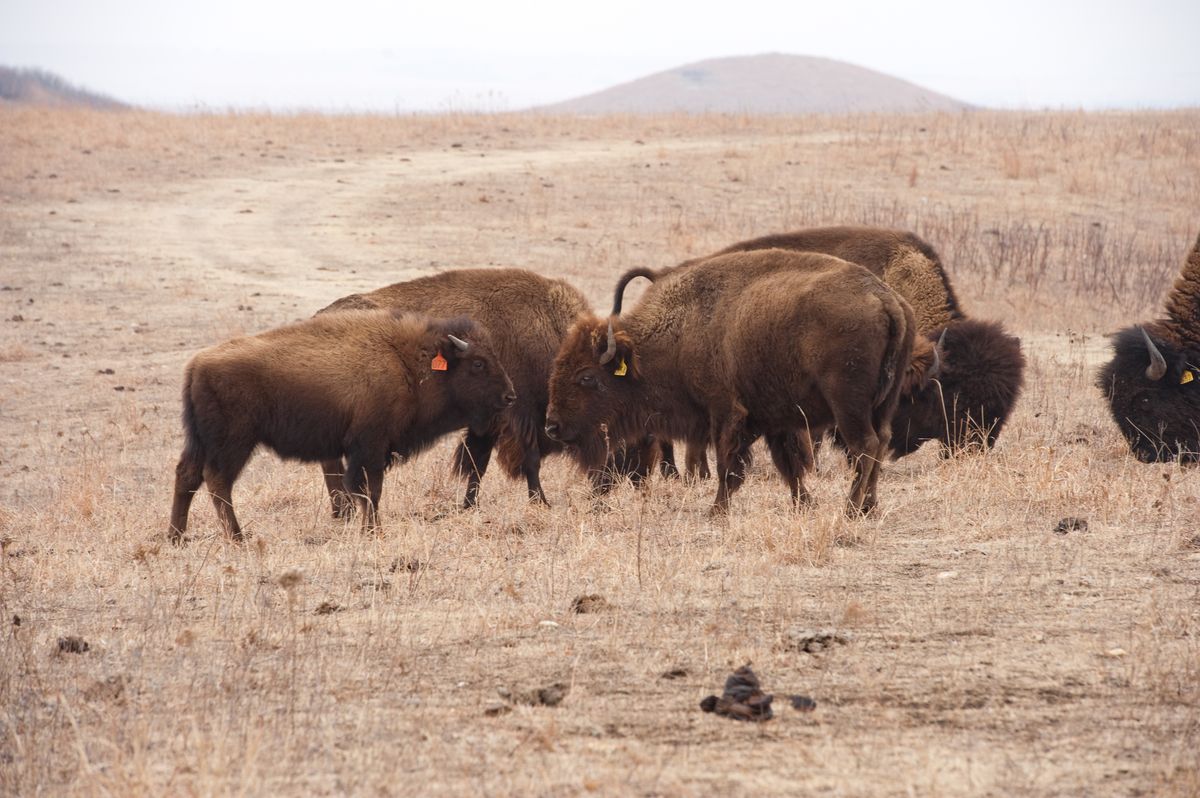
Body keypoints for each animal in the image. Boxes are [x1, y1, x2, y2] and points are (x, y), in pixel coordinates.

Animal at [166, 307, 513, 537]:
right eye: (478, 363)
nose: (510, 396)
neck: (406, 361)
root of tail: (197, 364)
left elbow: (365, 490)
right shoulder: (369, 447)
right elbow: (370, 489)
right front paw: (373, 532)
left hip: (199, 441)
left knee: (187, 476)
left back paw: (176, 537)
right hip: (233, 442)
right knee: (217, 481)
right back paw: (237, 538)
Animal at [544, 249, 926, 516]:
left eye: (587, 377)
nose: (552, 426)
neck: (681, 329)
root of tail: (886, 299)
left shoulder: (726, 412)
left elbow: (729, 464)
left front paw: (716, 511)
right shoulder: (775, 420)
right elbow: (789, 466)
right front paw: (803, 505)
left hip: (848, 404)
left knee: (865, 444)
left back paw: (851, 509)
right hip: (883, 402)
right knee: (881, 441)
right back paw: (868, 507)